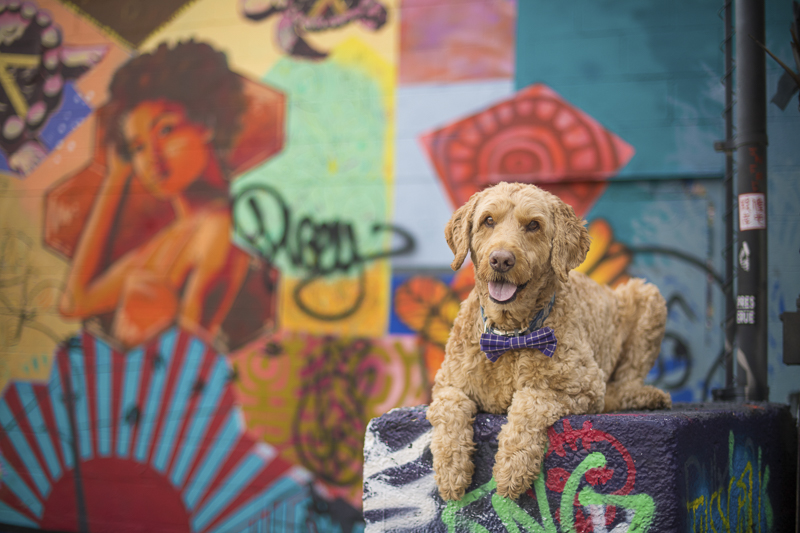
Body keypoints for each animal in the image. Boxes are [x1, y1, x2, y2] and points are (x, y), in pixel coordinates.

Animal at [428, 182, 672, 498]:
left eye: (534, 225)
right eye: (488, 220)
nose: (501, 260)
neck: (510, 336)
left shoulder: (581, 385)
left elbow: (530, 400)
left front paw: (512, 468)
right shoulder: (448, 384)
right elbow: (449, 410)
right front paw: (451, 472)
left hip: (647, 296)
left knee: (623, 384)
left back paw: (647, 396)